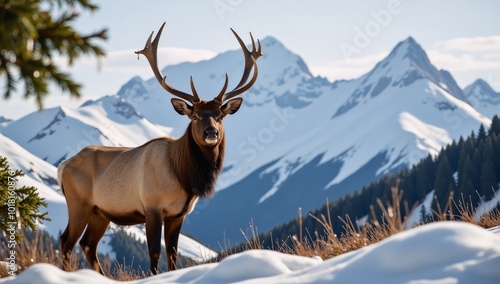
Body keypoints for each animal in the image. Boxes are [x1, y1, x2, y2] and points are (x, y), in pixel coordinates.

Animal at [57, 22, 262, 276]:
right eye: (194, 116)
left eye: (220, 116)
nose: (211, 133)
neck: (185, 177)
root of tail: (62, 166)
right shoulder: (152, 207)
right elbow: (154, 252)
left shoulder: (178, 214)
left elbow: (172, 253)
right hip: (79, 203)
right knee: (67, 242)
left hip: (100, 212)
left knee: (87, 244)